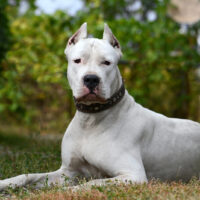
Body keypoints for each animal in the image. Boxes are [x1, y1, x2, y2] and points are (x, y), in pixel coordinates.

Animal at [0, 22, 200, 190]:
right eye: (77, 60)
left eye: (107, 62)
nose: (91, 79)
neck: (90, 119)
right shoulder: (67, 171)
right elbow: (28, 175)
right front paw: (6, 183)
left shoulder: (132, 175)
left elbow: (90, 184)